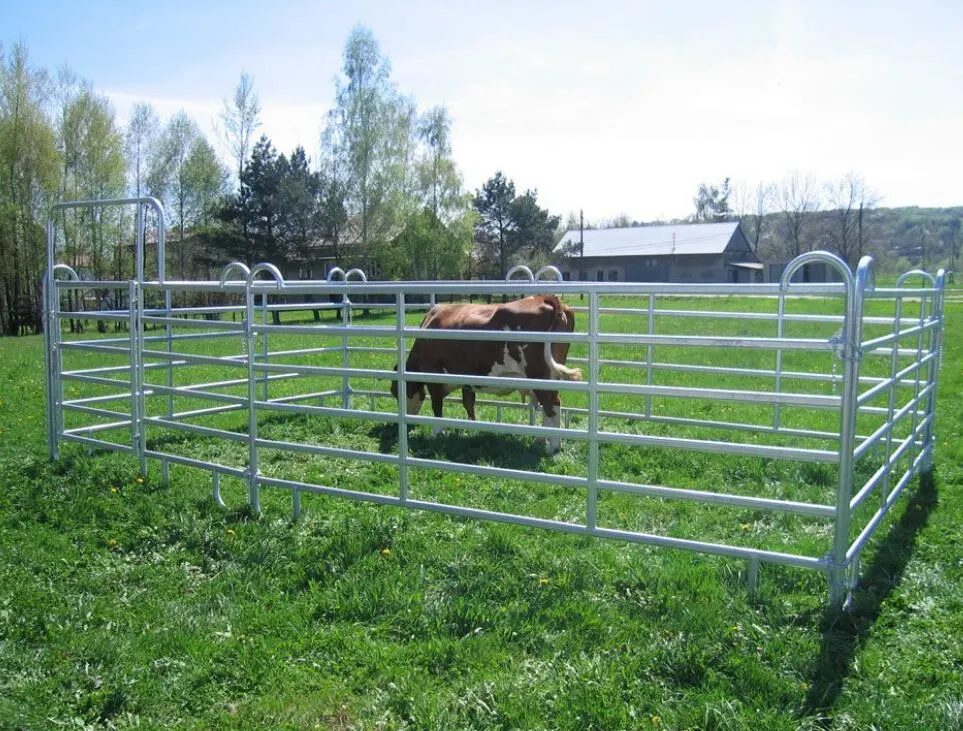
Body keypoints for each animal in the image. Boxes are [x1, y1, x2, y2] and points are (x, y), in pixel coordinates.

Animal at [390, 294, 580, 454]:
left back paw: (553, 448)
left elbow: (437, 407)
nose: (407, 423)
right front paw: (472, 428)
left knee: (552, 405)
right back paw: (540, 440)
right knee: (546, 407)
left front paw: (436, 434)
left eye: (396, 392)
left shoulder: (434, 376)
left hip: (540, 376)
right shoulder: (466, 379)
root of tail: (544, 297)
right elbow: (468, 403)